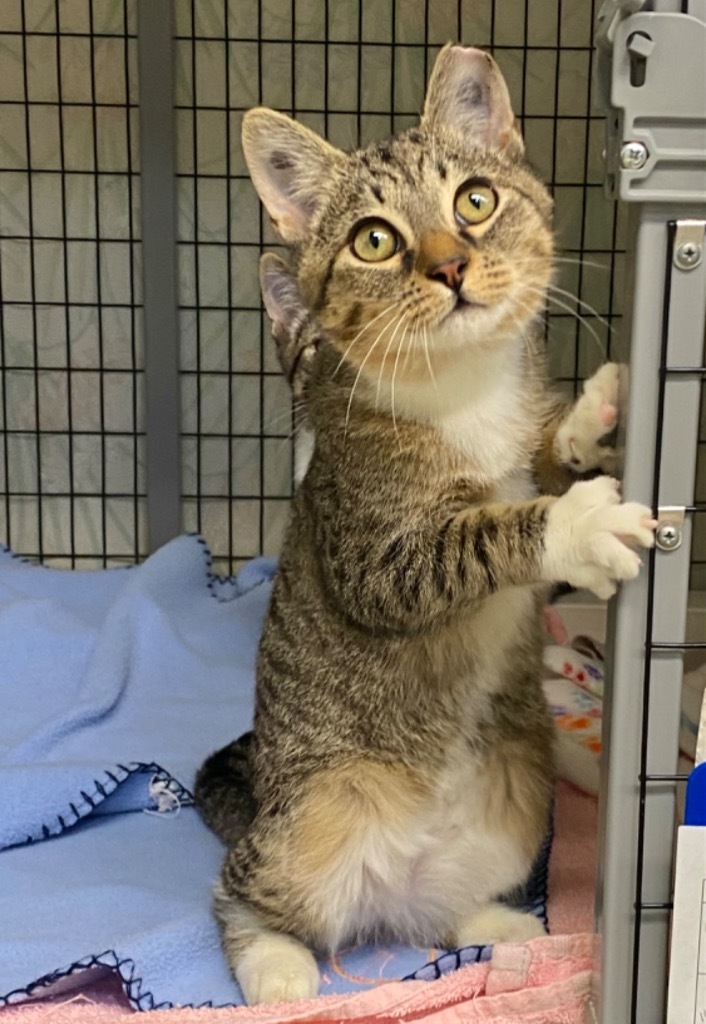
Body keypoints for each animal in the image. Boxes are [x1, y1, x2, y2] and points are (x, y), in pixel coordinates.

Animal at [193, 44, 655, 1003]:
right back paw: (276, 969)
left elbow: (540, 454)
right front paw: (576, 528)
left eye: (474, 200)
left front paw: (591, 416)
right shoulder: (369, 549)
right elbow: (467, 540)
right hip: (313, 820)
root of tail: (391, 887)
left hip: (518, 790)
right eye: (374, 239)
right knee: (242, 891)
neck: (461, 391)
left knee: (439, 911)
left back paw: (500, 927)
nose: (449, 268)